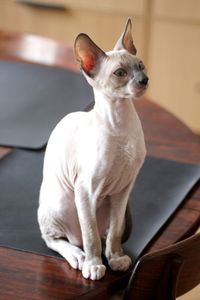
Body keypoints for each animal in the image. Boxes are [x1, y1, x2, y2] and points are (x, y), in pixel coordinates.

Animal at [37, 18, 148, 280]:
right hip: (63, 202)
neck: (121, 123)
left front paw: (115, 258)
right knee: (59, 239)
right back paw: (79, 257)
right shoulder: (86, 190)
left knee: (104, 233)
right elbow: (90, 236)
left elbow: (115, 232)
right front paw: (94, 265)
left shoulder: (123, 189)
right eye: (120, 73)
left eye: (141, 66)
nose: (144, 80)